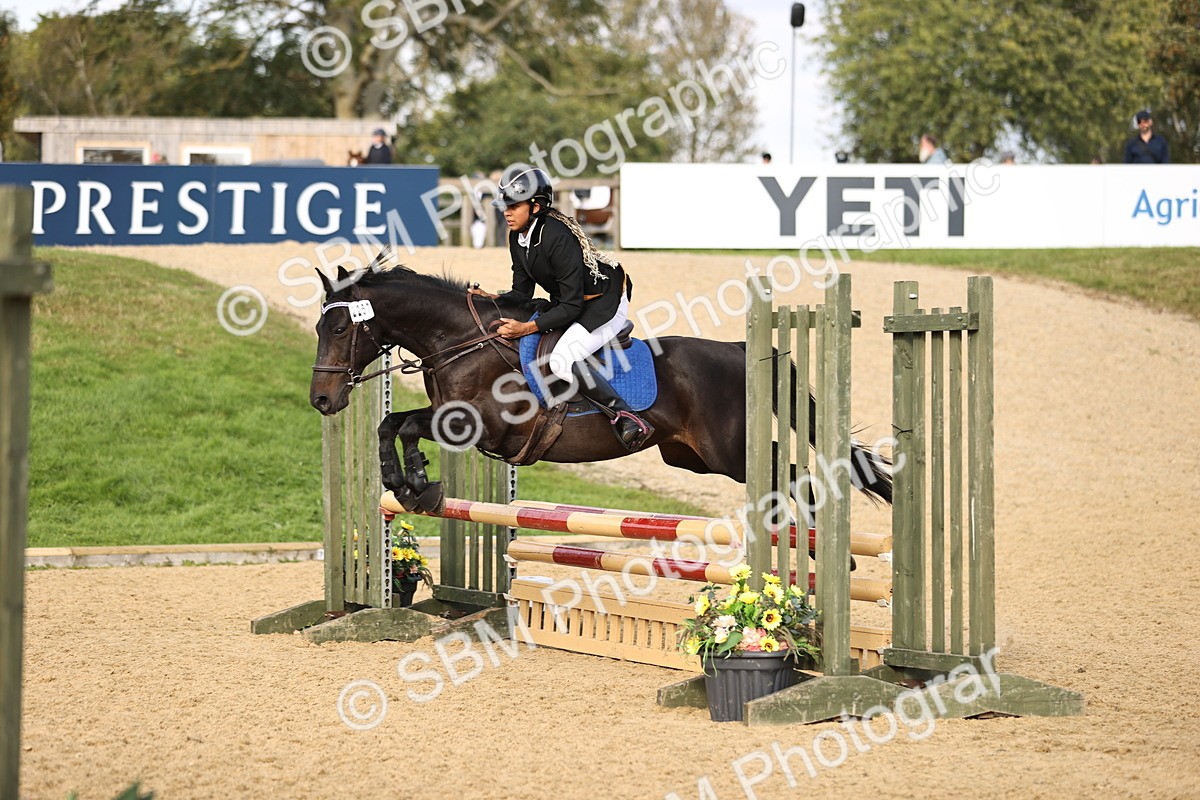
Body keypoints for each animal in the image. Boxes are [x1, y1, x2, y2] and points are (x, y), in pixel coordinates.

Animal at [309, 257, 893, 516]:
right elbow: (392, 424)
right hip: (694, 458)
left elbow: (406, 425)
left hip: (730, 453)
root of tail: (740, 350)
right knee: (787, 473)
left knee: (796, 476)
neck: (462, 341)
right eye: (318, 328)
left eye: (339, 329)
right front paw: (403, 483)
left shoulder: (481, 426)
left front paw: (418, 484)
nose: (321, 399)